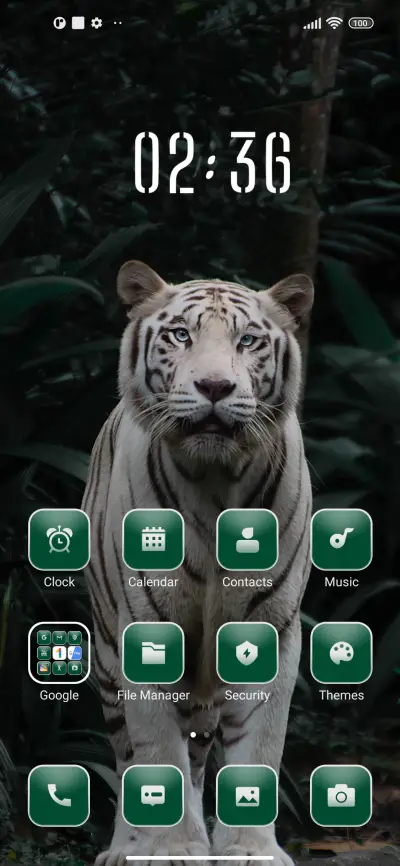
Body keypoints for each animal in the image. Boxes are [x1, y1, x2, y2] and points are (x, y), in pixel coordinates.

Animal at [82, 260, 314, 866]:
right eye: (181, 335)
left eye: (248, 340)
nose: (214, 387)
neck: (214, 483)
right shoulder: (146, 628)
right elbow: (157, 752)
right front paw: (175, 848)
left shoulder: (270, 626)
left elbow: (259, 744)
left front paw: (250, 850)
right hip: (109, 658)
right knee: (129, 754)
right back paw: (128, 847)